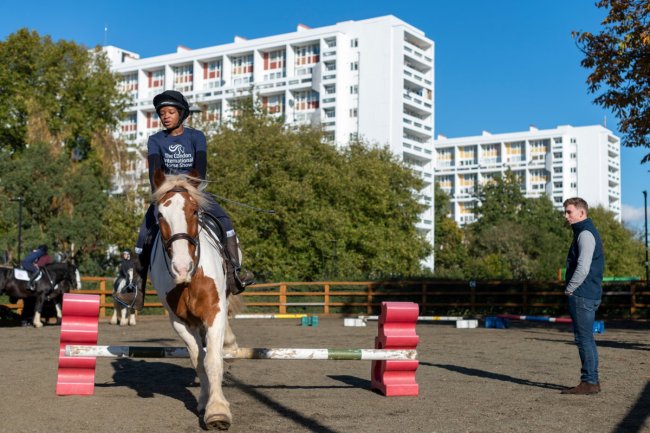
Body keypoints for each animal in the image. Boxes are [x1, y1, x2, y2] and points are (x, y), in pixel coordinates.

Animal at [148, 169, 240, 430]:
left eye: (194, 211)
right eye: (160, 214)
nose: (181, 267)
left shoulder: (214, 311)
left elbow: (213, 360)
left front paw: (218, 411)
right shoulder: (180, 322)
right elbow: (198, 359)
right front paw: (205, 401)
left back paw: (230, 343)